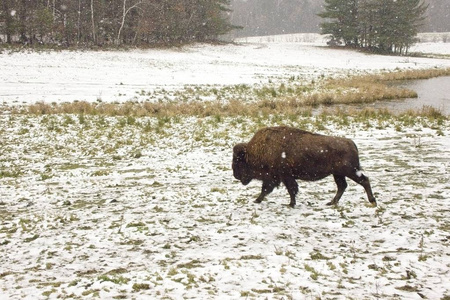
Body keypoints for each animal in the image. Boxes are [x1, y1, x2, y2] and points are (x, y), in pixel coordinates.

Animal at [232, 125, 376, 207]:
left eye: (238, 160)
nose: (235, 175)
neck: (255, 151)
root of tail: (351, 142)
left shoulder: (284, 176)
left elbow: (290, 189)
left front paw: (290, 204)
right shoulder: (276, 178)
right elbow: (267, 190)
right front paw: (257, 200)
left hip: (349, 171)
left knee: (364, 180)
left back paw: (372, 201)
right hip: (338, 174)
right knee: (342, 186)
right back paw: (331, 203)